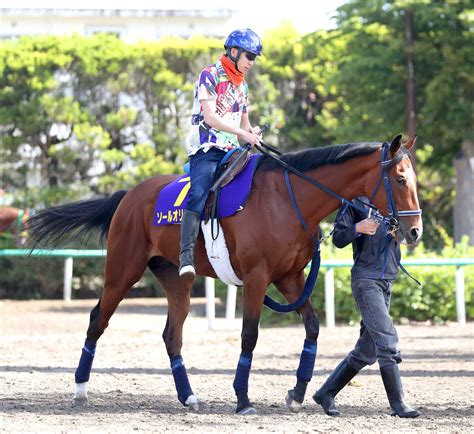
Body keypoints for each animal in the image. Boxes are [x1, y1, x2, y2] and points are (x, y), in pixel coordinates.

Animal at [27, 135, 424, 414]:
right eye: (400, 180)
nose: (415, 231)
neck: (287, 198)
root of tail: (128, 195)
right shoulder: (257, 277)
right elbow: (249, 335)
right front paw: (243, 397)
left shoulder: (290, 277)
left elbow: (312, 326)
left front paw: (297, 392)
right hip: (122, 271)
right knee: (98, 319)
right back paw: (80, 389)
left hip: (177, 281)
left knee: (172, 335)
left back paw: (188, 396)